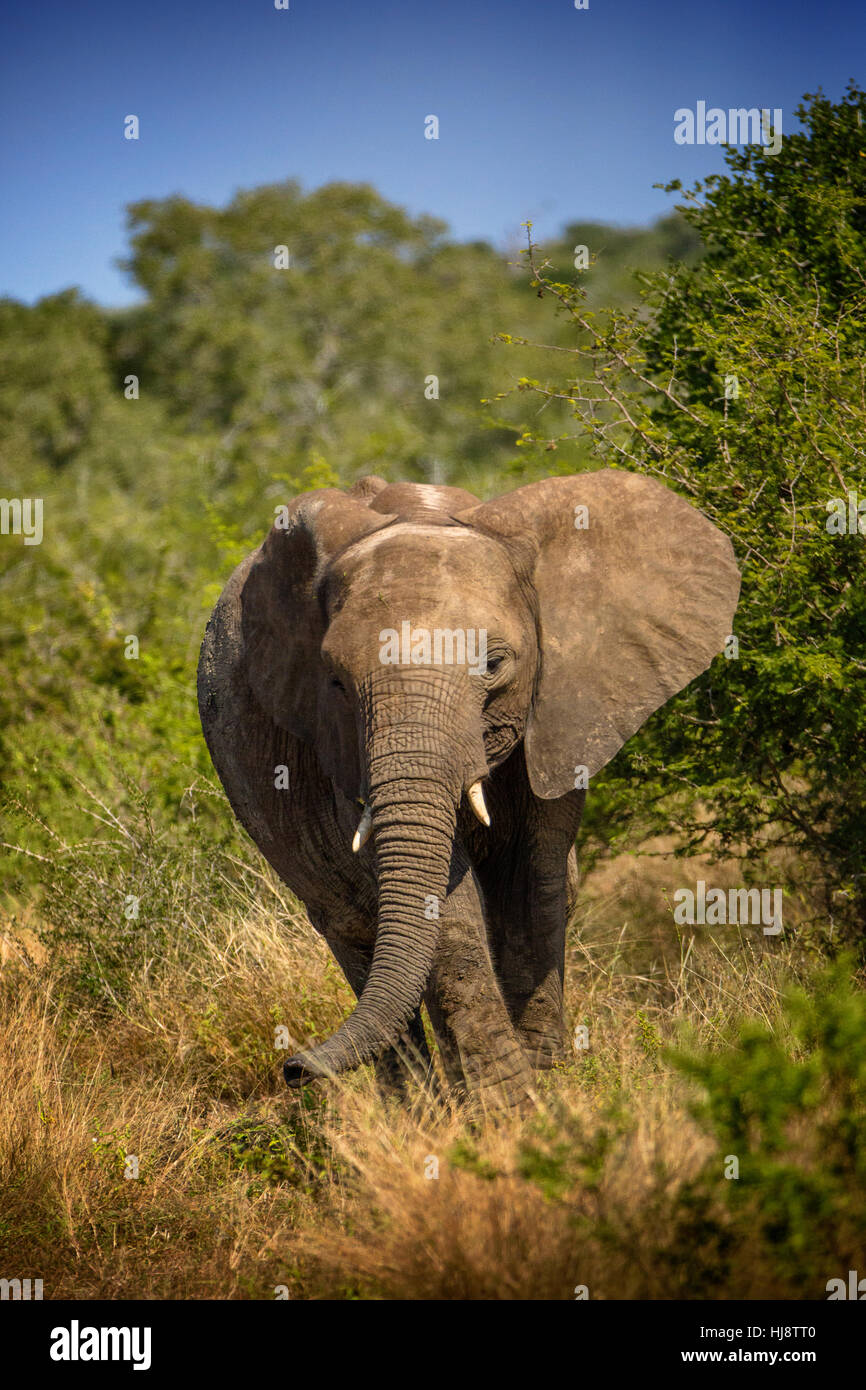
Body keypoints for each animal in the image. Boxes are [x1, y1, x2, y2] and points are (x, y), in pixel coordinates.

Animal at [200, 472, 739, 1112]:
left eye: (494, 663)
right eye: (335, 681)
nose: (293, 1068)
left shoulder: (562, 704)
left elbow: (535, 871)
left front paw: (546, 1080)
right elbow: (445, 906)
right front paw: (509, 1106)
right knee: (354, 928)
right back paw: (418, 1113)